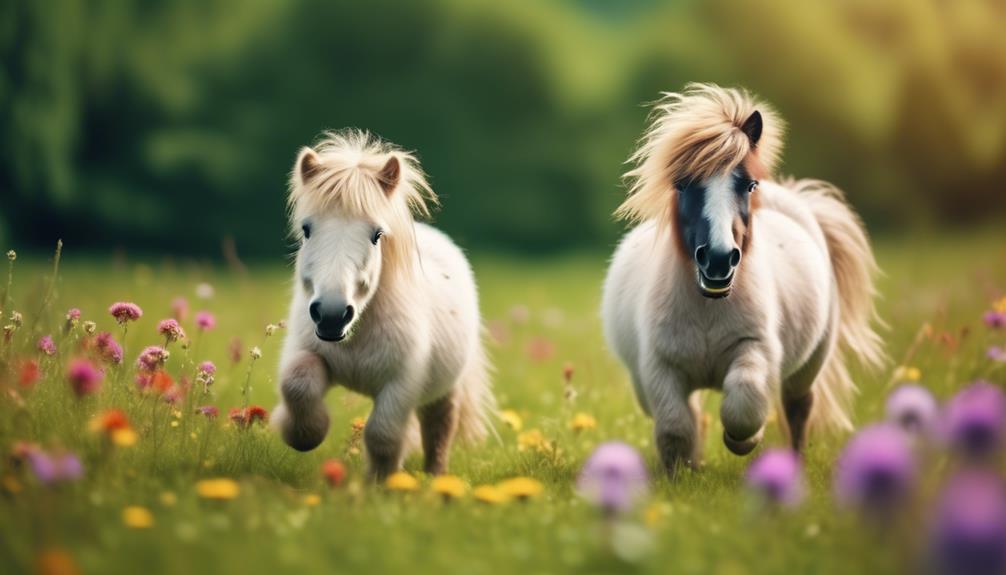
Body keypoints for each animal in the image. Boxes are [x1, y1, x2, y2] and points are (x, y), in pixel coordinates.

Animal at [271, 128, 494, 476]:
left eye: (377, 235)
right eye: (307, 229)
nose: (332, 315)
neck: (356, 335)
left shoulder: (401, 384)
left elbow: (382, 435)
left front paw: (379, 482)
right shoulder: (304, 352)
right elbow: (297, 386)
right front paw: (305, 433)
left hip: (444, 389)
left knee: (439, 428)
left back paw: (435, 477)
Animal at [599, 84, 885, 472]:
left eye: (749, 185)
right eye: (681, 184)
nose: (719, 259)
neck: (708, 309)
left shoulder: (754, 349)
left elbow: (744, 404)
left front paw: (744, 441)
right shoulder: (660, 369)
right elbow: (676, 427)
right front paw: (681, 473)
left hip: (809, 365)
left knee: (798, 410)